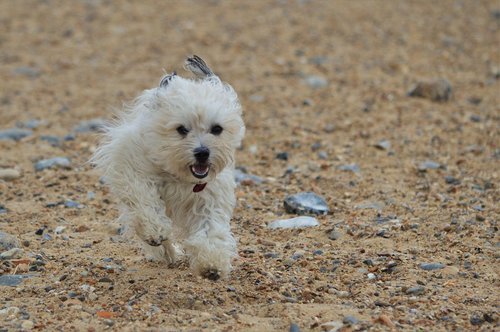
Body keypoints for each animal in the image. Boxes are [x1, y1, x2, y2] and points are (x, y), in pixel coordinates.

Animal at [92, 55, 246, 278]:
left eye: (217, 129)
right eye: (181, 129)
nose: (202, 152)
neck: (179, 175)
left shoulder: (210, 197)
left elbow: (210, 228)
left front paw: (211, 263)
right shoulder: (133, 169)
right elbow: (145, 201)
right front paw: (154, 231)